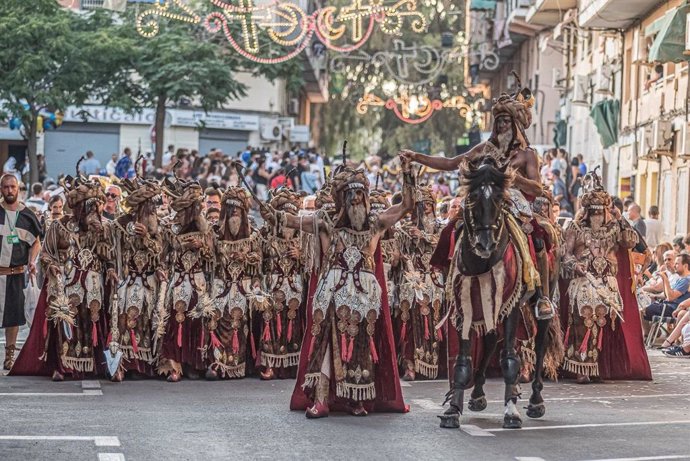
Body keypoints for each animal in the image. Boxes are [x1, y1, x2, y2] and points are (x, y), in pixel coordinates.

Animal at [440, 157, 548, 428]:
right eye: (472, 197)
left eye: (500, 199)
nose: (485, 244)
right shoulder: (465, 308)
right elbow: (463, 361)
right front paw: (453, 409)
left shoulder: (511, 307)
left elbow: (510, 359)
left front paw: (511, 411)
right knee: (490, 340)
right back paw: (477, 394)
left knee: (541, 340)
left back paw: (535, 400)